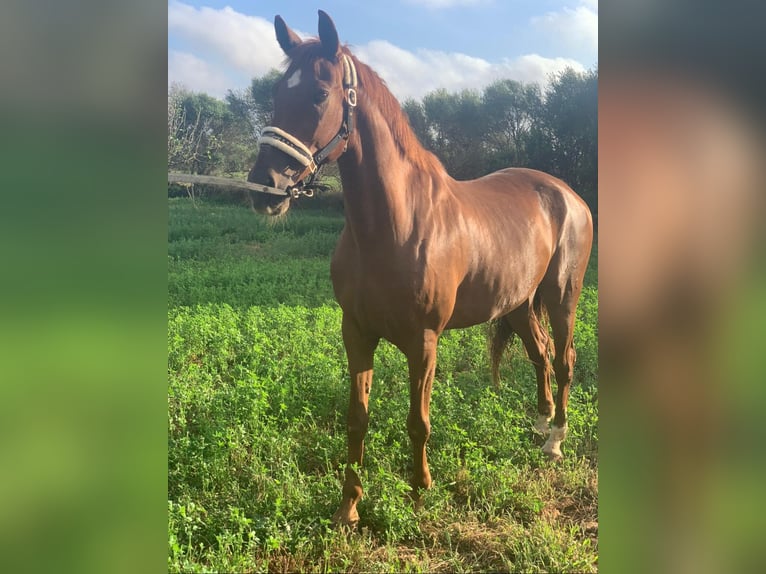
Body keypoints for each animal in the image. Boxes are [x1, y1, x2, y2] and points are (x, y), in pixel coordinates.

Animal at [249, 11, 596, 528]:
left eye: (318, 93)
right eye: (275, 92)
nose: (264, 188)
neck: (394, 225)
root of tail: (567, 195)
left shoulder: (424, 340)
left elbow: (418, 421)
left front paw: (417, 495)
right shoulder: (356, 332)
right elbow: (357, 418)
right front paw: (348, 508)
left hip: (561, 297)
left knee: (564, 358)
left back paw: (555, 439)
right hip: (517, 303)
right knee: (540, 354)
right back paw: (539, 424)